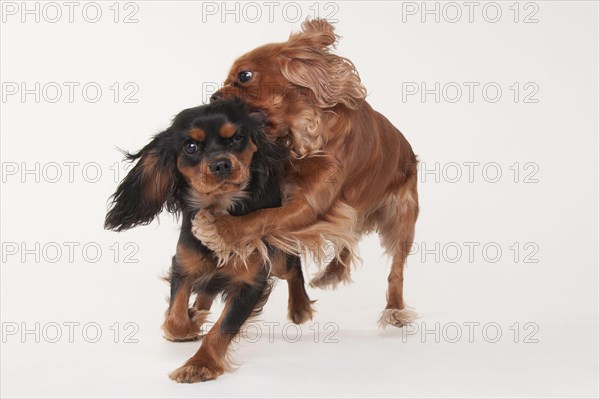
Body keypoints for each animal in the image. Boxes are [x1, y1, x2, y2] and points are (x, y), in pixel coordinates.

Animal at [103, 98, 314, 382]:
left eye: (236, 139)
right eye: (190, 147)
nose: (221, 163)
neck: (218, 212)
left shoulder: (251, 282)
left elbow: (222, 328)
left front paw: (200, 364)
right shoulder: (183, 263)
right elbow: (175, 318)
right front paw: (190, 324)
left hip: (277, 256)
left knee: (292, 267)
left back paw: (300, 307)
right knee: (206, 289)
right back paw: (198, 309)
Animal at [195, 19, 420, 328]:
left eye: (244, 75)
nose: (213, 96)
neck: (306, 136)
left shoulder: (309, 205)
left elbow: (263, 218)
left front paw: (220, 229)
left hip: (402, 214)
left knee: (396, 266)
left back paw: (394, 307)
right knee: (349, 235)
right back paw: (332, 273)